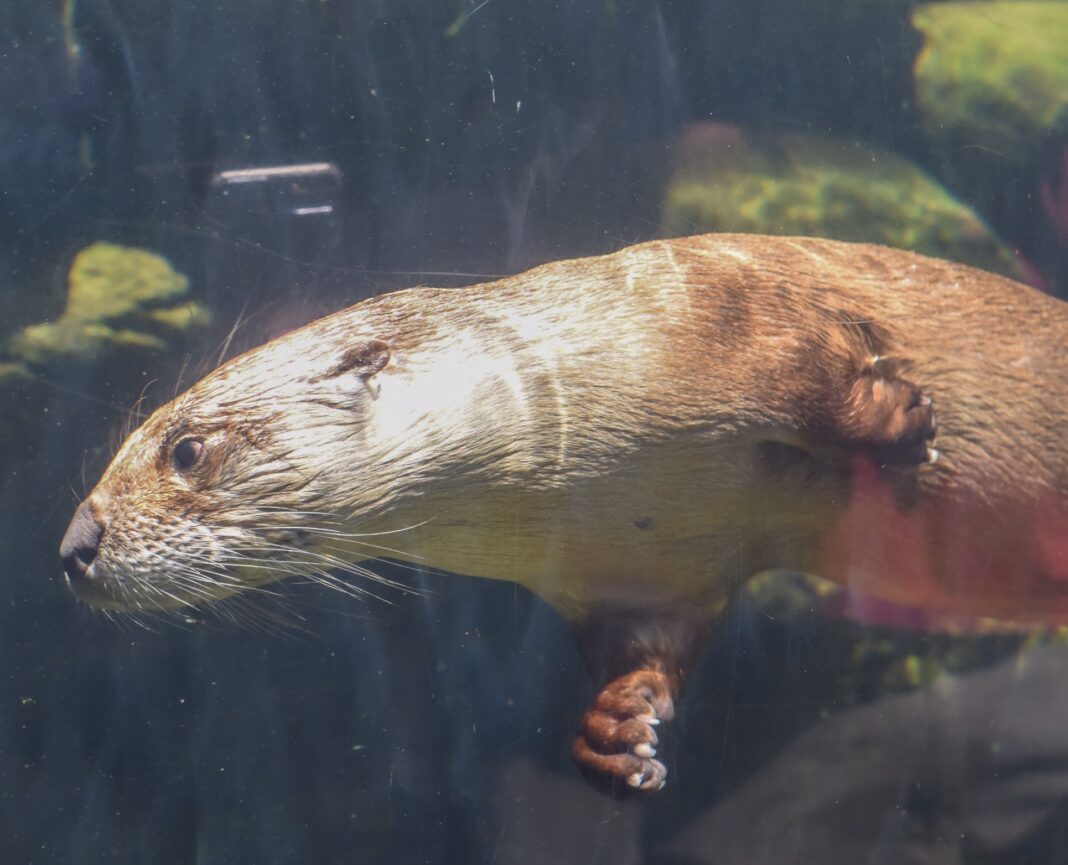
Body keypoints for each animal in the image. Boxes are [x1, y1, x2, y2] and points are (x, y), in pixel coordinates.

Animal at [59, 234, 1068, 795]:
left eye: (185, 450)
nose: (74, 544)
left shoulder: (731, 311)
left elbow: (820, 369)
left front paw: (903, 419)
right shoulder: (636, 572)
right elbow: (648, 653)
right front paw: (617, 733)